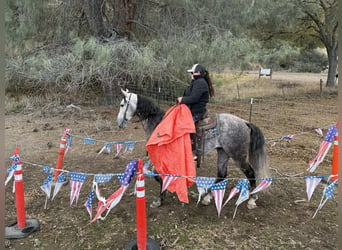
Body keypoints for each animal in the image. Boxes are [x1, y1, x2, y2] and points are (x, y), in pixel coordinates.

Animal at [117, 89, 270, 208]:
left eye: (122, 104)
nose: (118, 123)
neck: (160, 125)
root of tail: (244, 122)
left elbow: (159, 176)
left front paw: (160, 199)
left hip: (238, 155)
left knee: (250, 172)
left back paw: (252, 199)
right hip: (223, 153)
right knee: (221, 174)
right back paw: (207, 197)